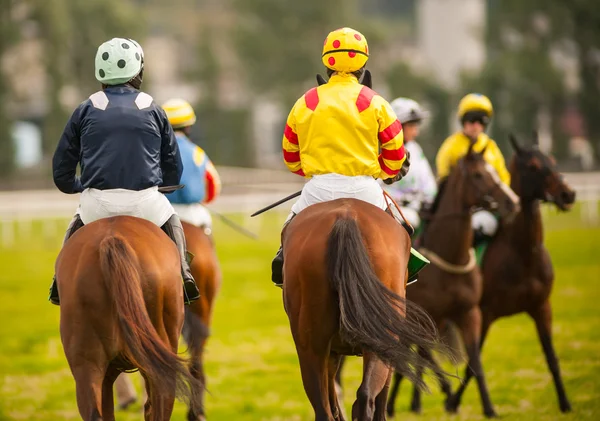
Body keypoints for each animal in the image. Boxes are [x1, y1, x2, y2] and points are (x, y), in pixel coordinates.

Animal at [384, 145, 520, 416]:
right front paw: (448, 395)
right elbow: (426, 353)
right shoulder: (424, 315)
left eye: (493, 168)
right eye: (478, 175)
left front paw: (488, 407)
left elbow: (474, 359)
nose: (511, 201)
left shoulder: (468, 312)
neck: (450, 260)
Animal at [446, 133, 576, 412]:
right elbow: (472, 365)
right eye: (533, 166)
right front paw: (453, 401)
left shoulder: (541, 306)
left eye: (552, 160)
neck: (522, 254)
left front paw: (565, 403)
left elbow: (552, 358)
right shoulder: (484, 313)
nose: (568, 194)